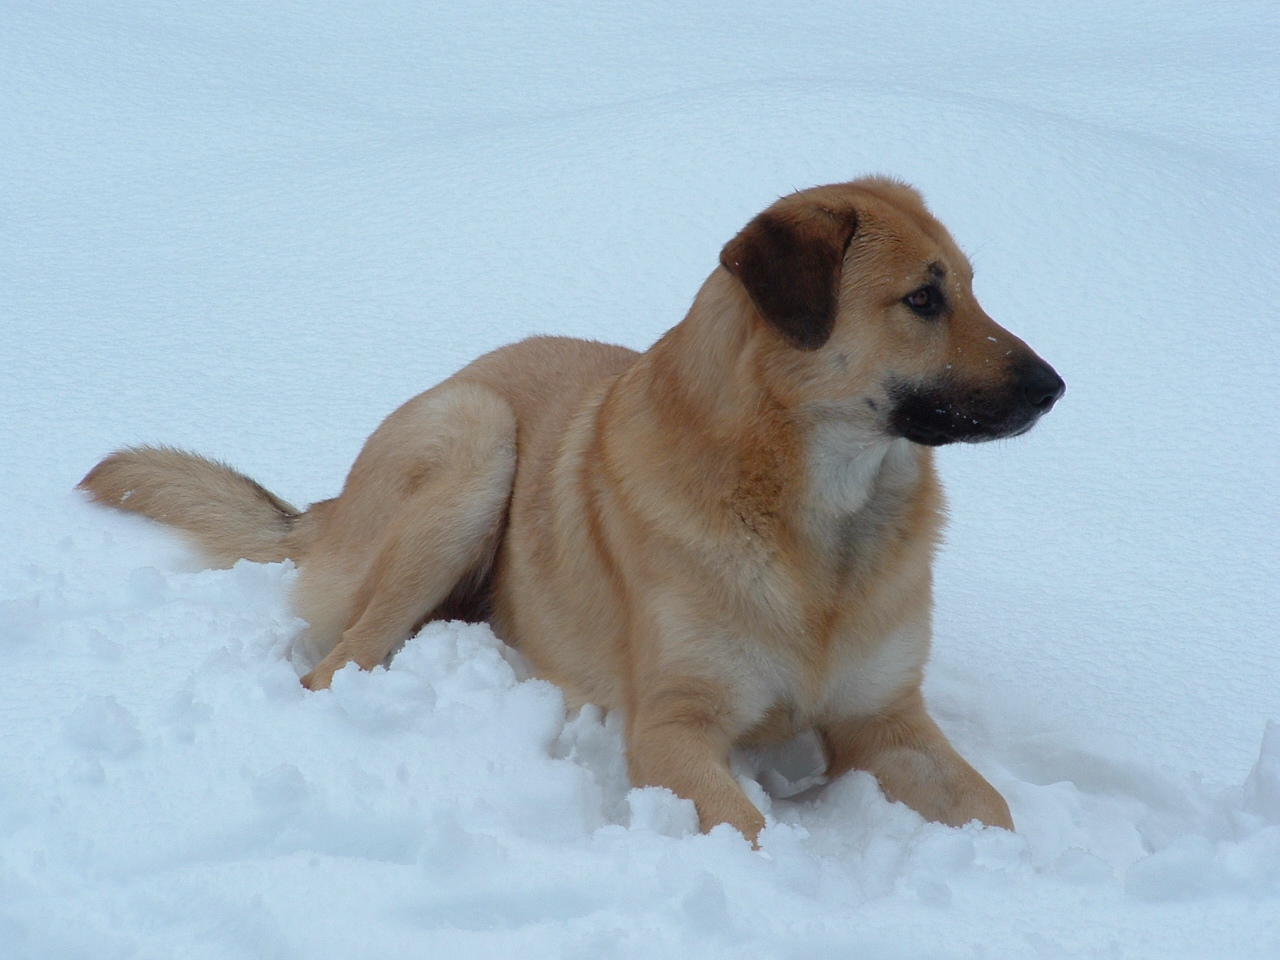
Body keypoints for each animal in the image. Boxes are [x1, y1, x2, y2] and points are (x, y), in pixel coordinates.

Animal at [77, 179, 1059, 839]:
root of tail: (331, 502)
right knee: (335, 666)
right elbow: (747, 831)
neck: (820, 524)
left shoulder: (885, 721)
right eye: (923, 299)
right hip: (476, 445)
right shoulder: (671, 729)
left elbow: (994, 809)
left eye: (972, 287)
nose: (1054, 387)